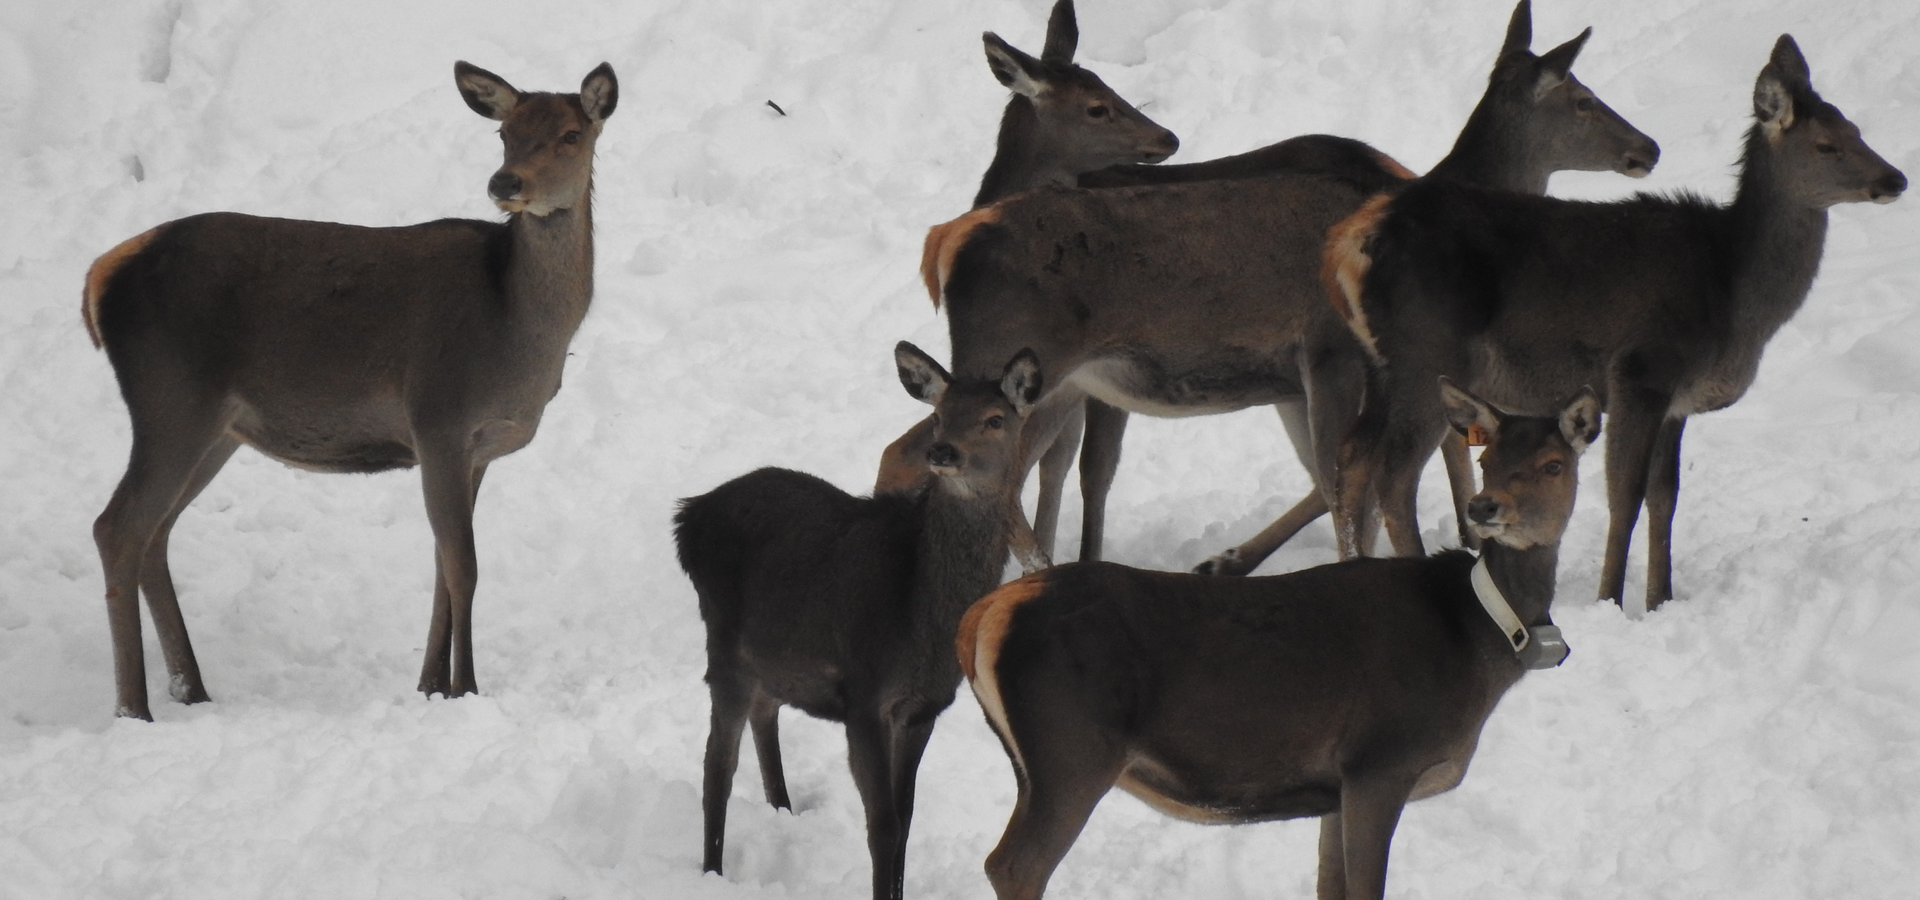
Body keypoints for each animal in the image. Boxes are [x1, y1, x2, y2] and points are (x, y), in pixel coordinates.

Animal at [82, 59, 618, 717]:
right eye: (504, 132)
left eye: (571, 134)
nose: (504, 182)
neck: (517, 332)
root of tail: (100, 275)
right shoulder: (438, 415)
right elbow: (464, 566)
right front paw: (465, 686)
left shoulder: (477, 449)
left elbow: (443, 566)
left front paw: (430, 685)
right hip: (171, 398)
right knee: (117, 527)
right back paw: (135, 707)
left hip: (217, 429)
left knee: (154, 534)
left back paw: (194, 690)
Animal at [679, 339, 1044, 898]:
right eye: (938, 416)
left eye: (995, 419)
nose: (943, 452)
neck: (918, 615)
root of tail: (687, 517)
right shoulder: (866, 695)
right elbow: (883, 825)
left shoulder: (922, 709)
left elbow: (907, 818)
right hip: (723, 643)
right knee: (716, 764)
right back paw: (712, 872)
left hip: (775, 654)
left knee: (765, 712)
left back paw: (783, 810)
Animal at [910, 0, 1651, 575]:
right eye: (1583, 100)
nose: (1648, 148)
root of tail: (948, 241)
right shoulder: (1330, 356)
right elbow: (1348, 479)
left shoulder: (1317, 378)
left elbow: (1350, 478)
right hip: (1027, 368)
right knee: (981, 468)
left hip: (1056, 380)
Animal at [952, 378, 1597, 898]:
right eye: (1488, 458)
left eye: (1553, 465)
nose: (1485, 507)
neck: (1479, 640)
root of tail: (982, 614)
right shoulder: (1382, 759)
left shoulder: (1338, 786)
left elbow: (1330, 887)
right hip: (1073, 749)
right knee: (1012, 865)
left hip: (1041, 762)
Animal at [1336, 36, 1904, 610]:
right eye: (1826, 146)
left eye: (1857, 131)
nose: (1895, 178)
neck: (1734, 296)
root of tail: (1355, 243)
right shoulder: (1642, 371)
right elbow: (1625, 494)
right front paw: (1610, 599)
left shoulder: (1678, 403)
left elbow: (1665, 496)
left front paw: (1660, 600)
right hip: (1426, 354)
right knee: (1394, 474)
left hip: (1382, 363)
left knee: (1352, 456)